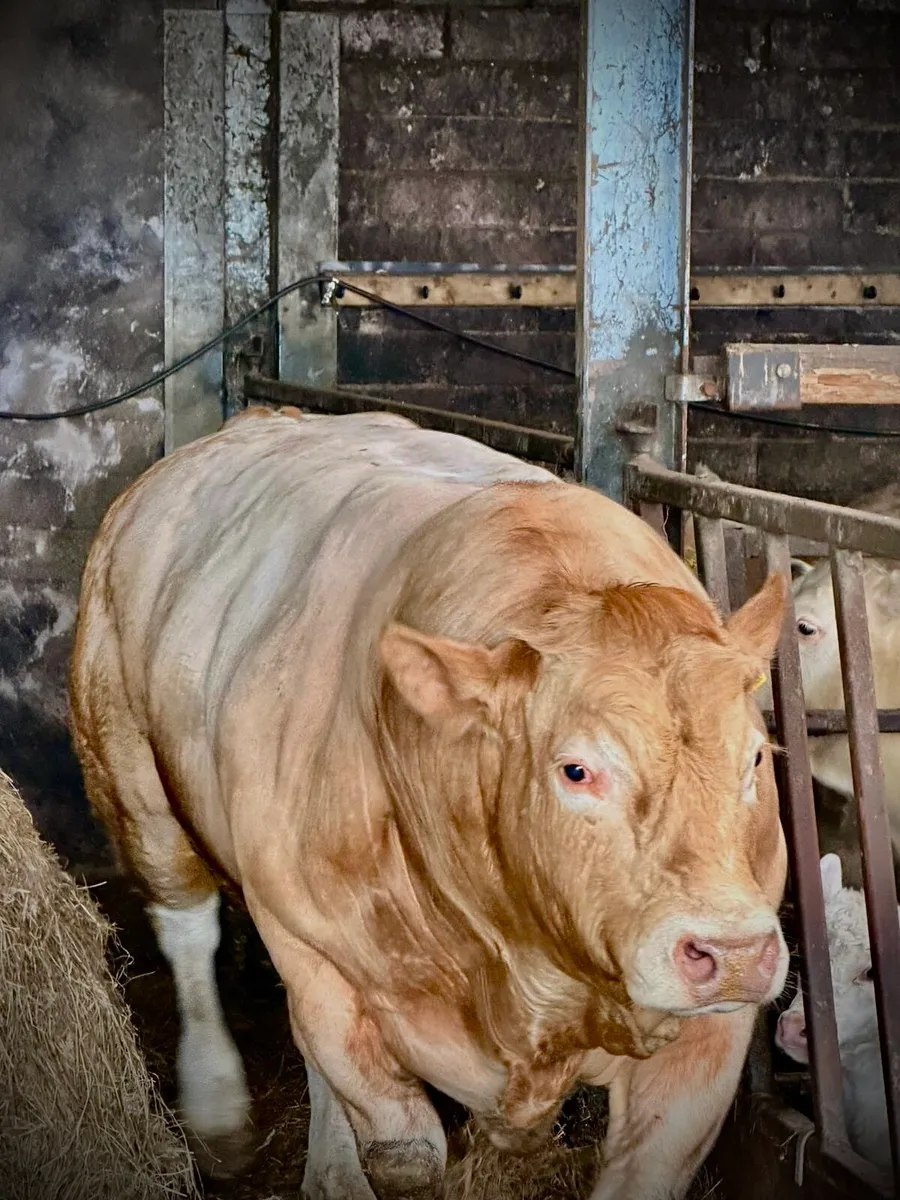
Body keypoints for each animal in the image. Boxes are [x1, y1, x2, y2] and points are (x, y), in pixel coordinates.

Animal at [69, 407, 790, 1200]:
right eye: (575, 770)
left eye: (756, 757)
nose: (732, 952)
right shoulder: (310, 942)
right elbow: (404, 1153)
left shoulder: (709, 1041)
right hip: (127, 768)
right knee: (188, 927)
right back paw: (219, 1114)